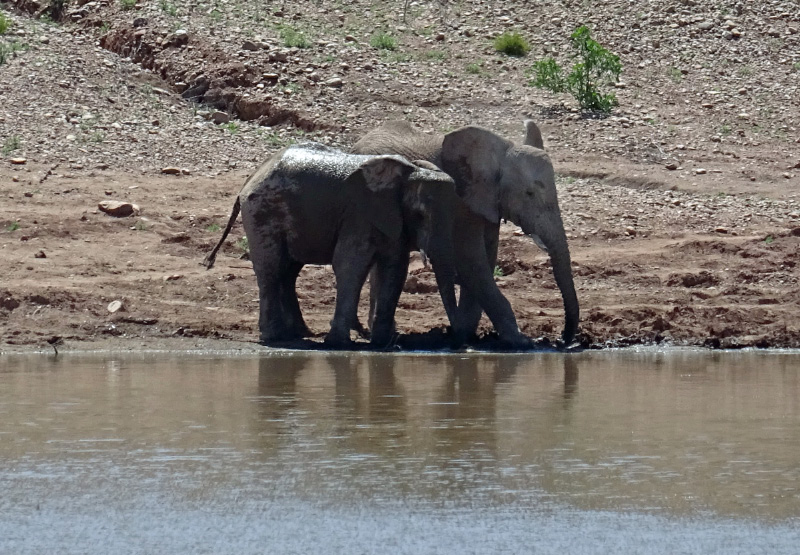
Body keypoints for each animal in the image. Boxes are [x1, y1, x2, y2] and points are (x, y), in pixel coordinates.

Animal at [203, 142, 460, 349]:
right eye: (420, 215)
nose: (454, 339)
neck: (409, 173)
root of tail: (252, 177)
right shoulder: (359, 214)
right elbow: (350, 264)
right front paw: (339, 343)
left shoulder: (391, 219)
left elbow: (395, 269)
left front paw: (383, 343)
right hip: (262, 212)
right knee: (271, 269)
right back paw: (274, 337)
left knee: (288, 271)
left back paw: (298, 333)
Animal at [352, 120, 579, 347]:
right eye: (529, 194)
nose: (561, 340)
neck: (497, 156)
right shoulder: (461, 200)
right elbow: (471, 259)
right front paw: (521, 341)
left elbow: (486, 256)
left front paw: (469, 334)